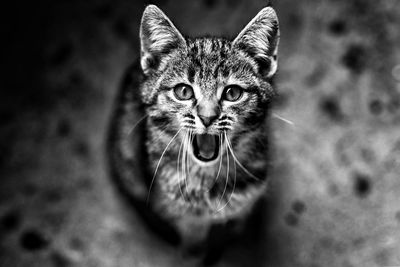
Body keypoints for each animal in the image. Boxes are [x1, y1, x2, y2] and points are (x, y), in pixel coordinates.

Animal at [108, 3, 280, 264]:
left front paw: (233, 232)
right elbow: (191, 236)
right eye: (183, 91)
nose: (207, 117)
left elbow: (238, 217)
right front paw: (194, 252)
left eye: (232, 93)